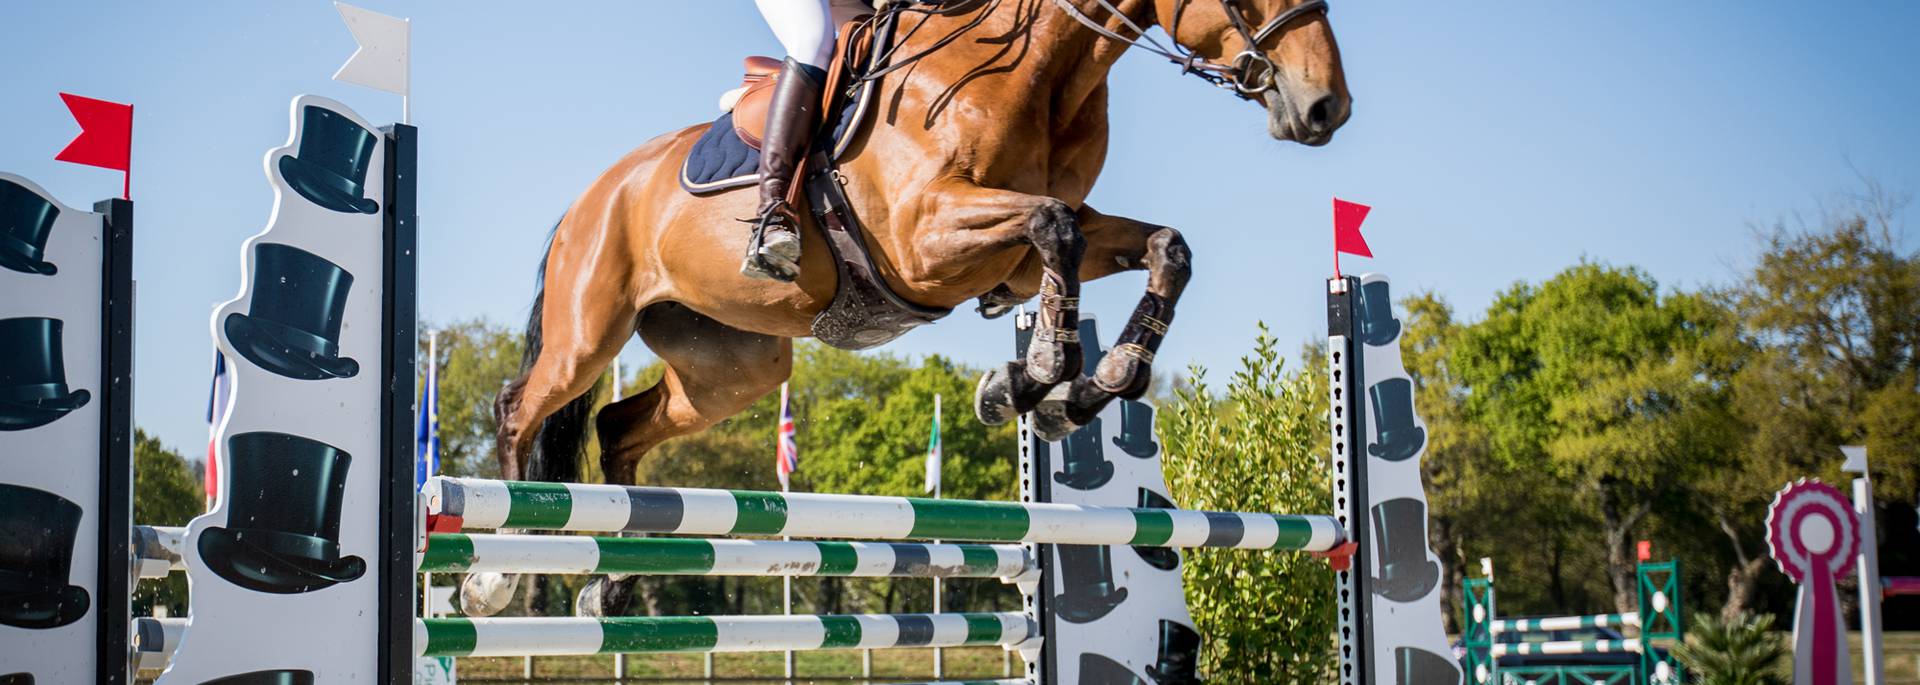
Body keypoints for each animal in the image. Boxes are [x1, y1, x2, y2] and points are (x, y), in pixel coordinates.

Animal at [468, 0, 1351, 617]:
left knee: (619, 426)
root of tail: (596, 192)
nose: (1326, 109)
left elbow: (1162, 247)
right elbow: (1053, 227)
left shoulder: (1038, 245)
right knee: (519, 407)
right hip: (590, 328)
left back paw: (612, 586)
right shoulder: (927, 238)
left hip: (735, 365)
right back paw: (498, 569)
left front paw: (1079, 387)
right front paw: (1037, 376)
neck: (1041, 77)